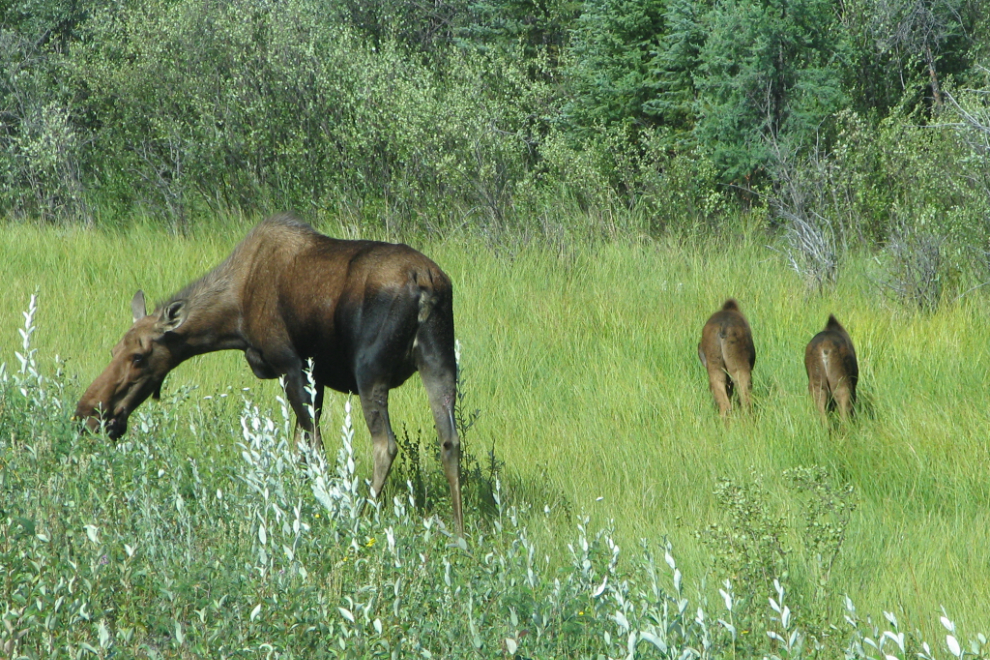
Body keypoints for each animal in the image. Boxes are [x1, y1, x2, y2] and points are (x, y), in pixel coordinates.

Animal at [76, 214, 464, 532]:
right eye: (114, 350)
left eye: (139, 357)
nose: (88, 414)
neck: (233, 317)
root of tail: (426, 283)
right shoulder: (315, 377)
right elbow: (300, 447)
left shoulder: (292, 365)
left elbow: (313, 447)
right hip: (441, 362)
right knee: (450, 441)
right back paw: (459, 533)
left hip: (370, 370)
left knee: (386, 444)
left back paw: (359, 516)